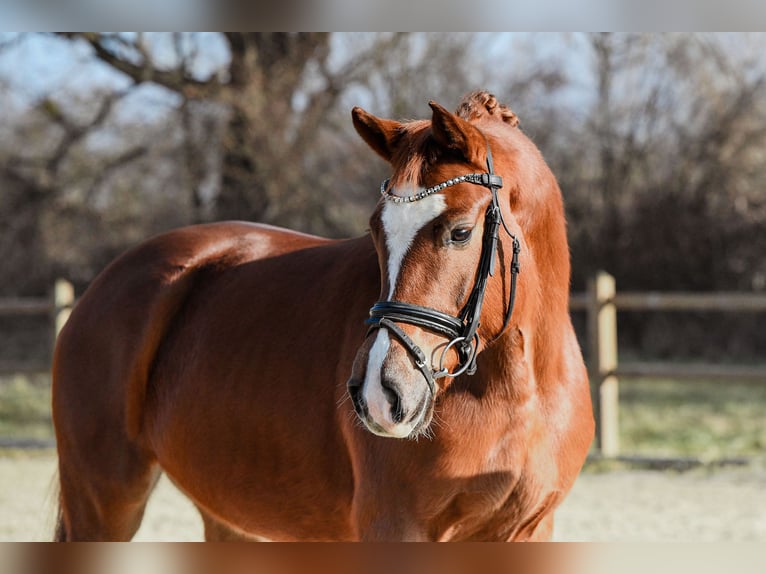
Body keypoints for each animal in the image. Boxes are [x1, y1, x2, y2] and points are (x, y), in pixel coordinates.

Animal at [52, 91, 594, 541]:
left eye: (460, 231)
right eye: (375, 230)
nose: (379, 393)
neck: (517, 390)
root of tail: (105, 285)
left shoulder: (527, 531)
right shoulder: (394, 528)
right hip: (103, 504)